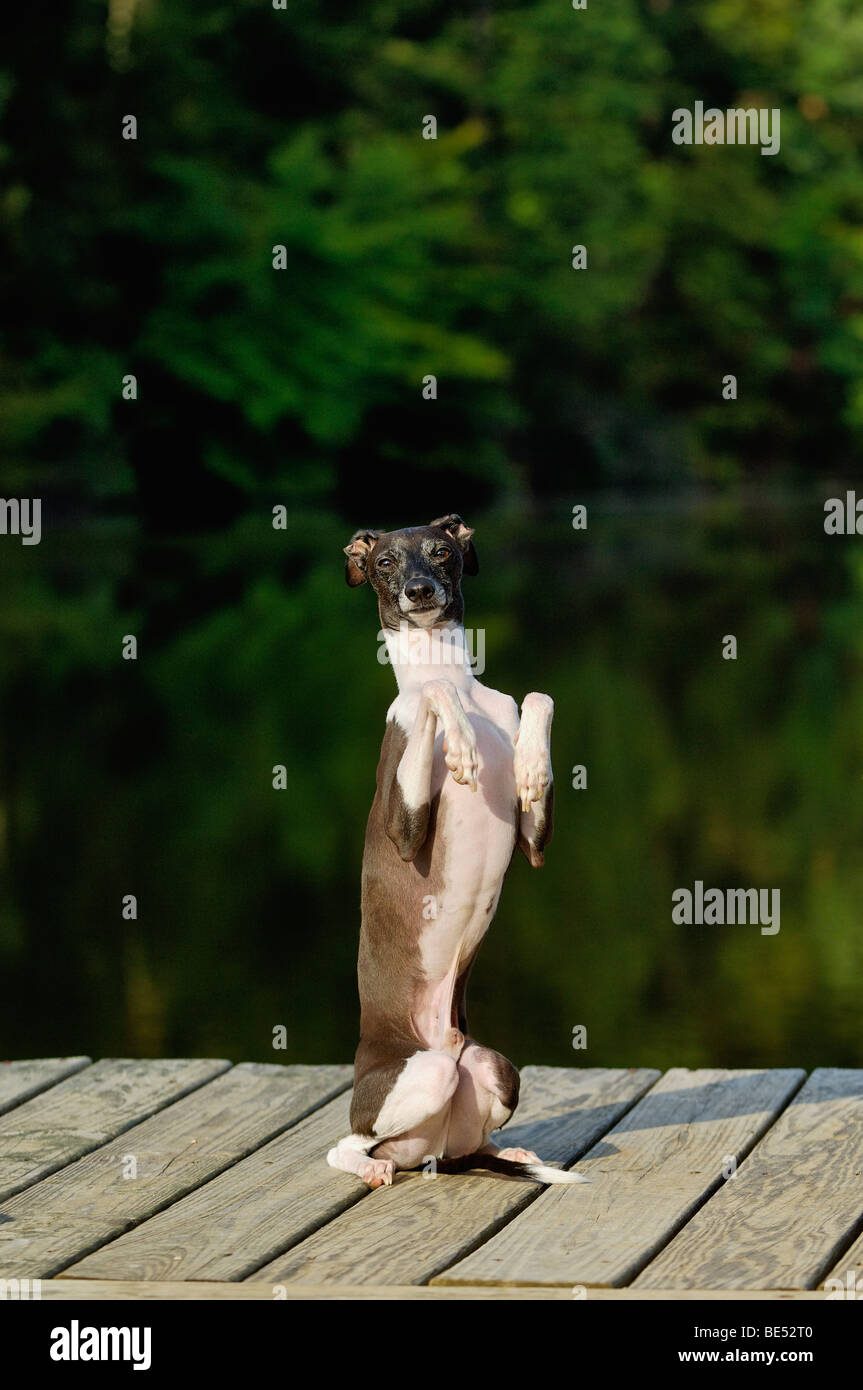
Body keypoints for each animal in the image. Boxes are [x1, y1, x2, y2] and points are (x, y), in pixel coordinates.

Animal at [326, 517, 589, 1189]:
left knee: (473, 1140)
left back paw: (512, 1154)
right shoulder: (404, 830)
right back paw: (367, 1166)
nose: (420, 591)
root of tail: (423, 1152)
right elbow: (432, 696)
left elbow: (539, 696)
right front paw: (463, 745)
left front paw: (528, 764)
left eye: (441, 550)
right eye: (385, 561)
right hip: (418, 1078)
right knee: (346, 1144)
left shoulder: (535, 843)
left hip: (493, 1068)